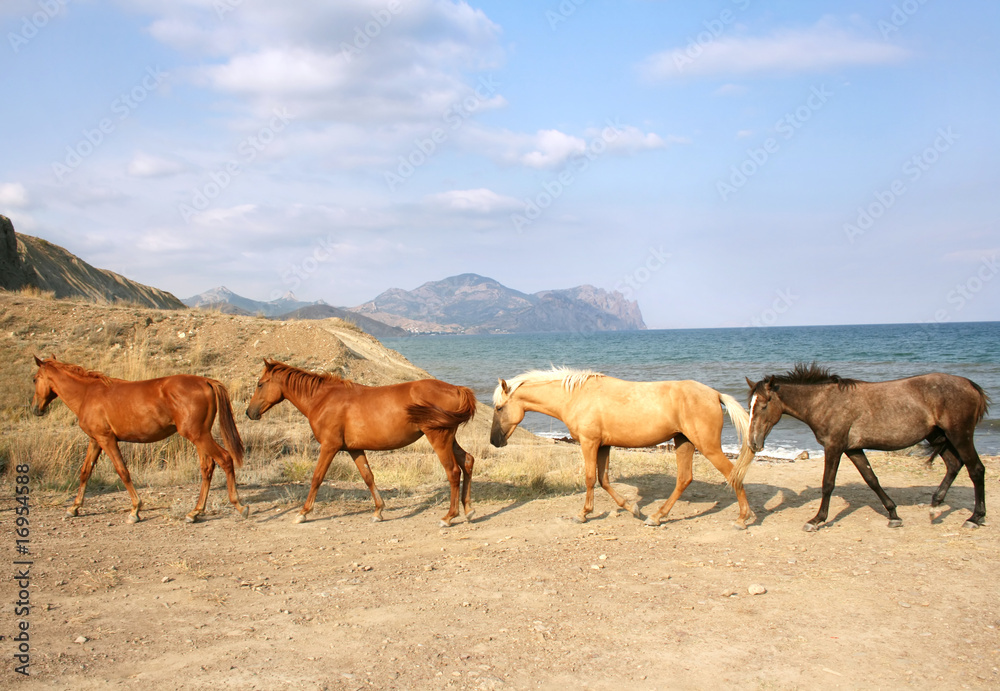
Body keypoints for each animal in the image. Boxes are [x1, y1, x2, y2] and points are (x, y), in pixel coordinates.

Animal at [31, 356, 249, 524]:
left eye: (34, 379)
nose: (35, 409)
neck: (88, 394)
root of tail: (206, 381)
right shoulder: (95, 440)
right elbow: (85, 472)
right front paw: (74, 508)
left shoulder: (107, 440)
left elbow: (122, 471)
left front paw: (135, 510)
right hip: (200, 436)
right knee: (207, 468)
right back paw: (194, 513)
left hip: (198, 436)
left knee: (225, 459)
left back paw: (239, 506)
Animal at [245, 359, 477, 526]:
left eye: (260, 384)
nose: (249, 412)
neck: (323, 399)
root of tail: (456, 389)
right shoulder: (354, 449)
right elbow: (368, 477)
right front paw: (378, 511)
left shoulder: (329, 447)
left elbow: (317, 477)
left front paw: (303, 512)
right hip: (449, 438)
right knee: (467, 461)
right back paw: (468, 510)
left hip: (438, 437)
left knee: (453, 472)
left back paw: (449, 516)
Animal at [490, 367, 757, 528]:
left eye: (499, 408)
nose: (494, 441)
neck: (576, 396)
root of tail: (715, 394)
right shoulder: (604, 446)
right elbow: (604, 479)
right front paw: (632, 508)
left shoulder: (589, 443)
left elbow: (590, 478)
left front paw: (583, 514)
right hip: (684, 442)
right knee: (684, 478)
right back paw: (656, 516)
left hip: (707, 446)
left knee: (732, 474)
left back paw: (743, 518)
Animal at [746, 363, 990, 531]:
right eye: (751, 405)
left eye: (764, 405)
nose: (753, 443)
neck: (826, 402)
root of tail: (971, 385)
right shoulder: (853, 449)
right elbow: (871, 479)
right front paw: (893, 515)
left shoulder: (834, 447)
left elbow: (828, 484)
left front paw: (816, 520)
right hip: (939, 436)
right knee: (954, 465)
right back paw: (935, 506)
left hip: (960, 436)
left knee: (976, 470)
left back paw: (974, 518)